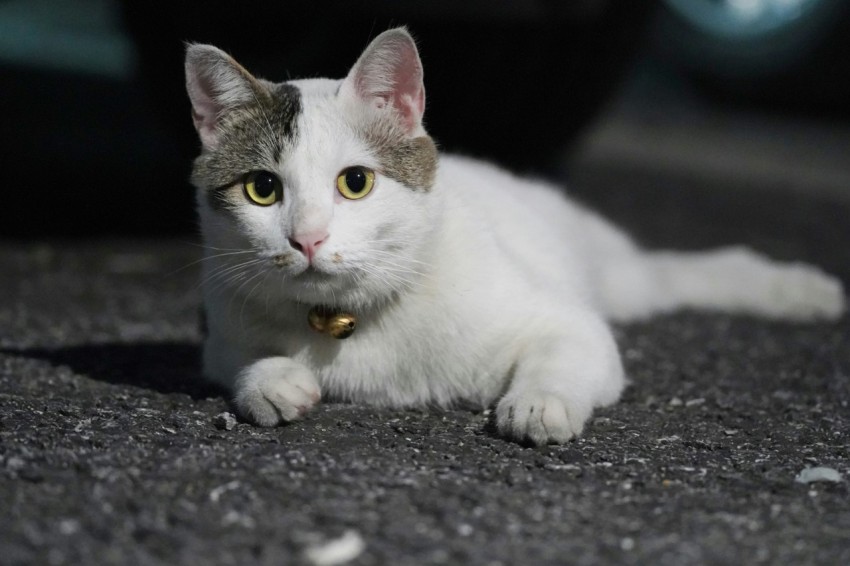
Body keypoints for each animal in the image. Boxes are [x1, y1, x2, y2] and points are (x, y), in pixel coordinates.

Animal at [184, 27, 840, 448]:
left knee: (678, 275)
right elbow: (238, 359)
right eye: (263, 189)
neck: (345, 322)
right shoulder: (220, 325)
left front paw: (538, 404)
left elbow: (564, 353)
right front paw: (273, 380)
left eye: (356, 182)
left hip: (621, 280)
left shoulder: (573, 325)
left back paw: (797, 292)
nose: (308, 239)